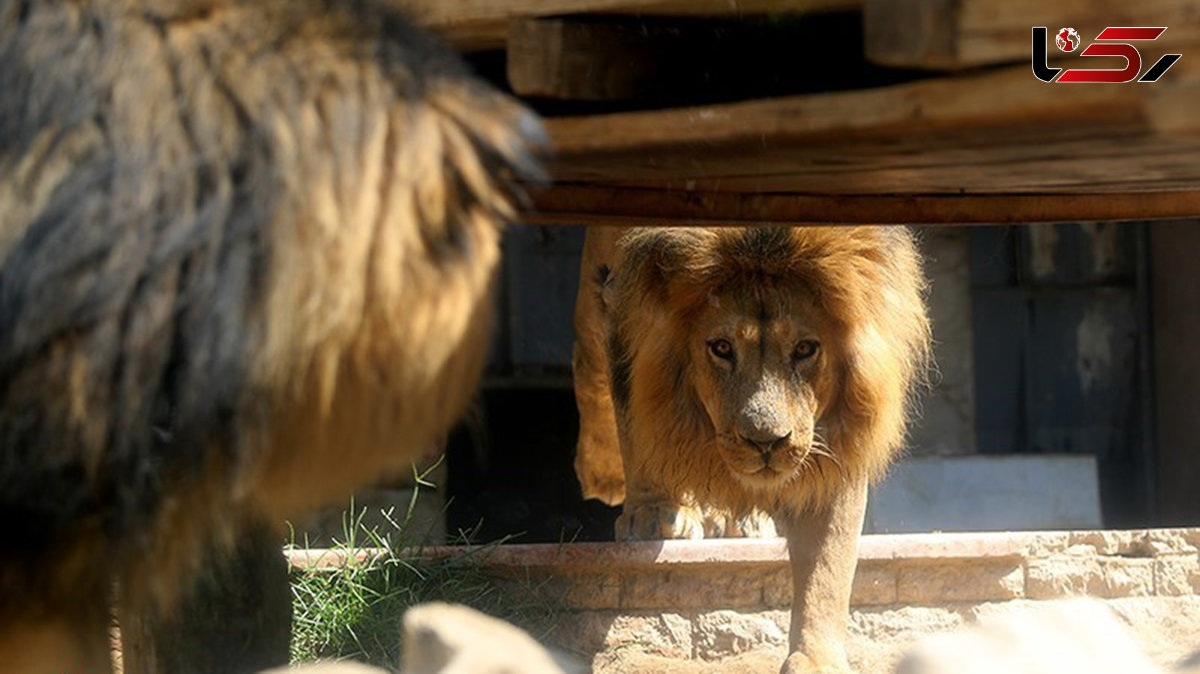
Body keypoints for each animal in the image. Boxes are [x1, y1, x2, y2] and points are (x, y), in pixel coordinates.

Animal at [571, 226, 926, 671]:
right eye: (722, 348)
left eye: (805, 349)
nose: (765, 442)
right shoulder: (624, 301)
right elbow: (637, 416)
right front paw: (651, 513)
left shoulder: (838, 439)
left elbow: (828, 563)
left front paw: (816, 659)